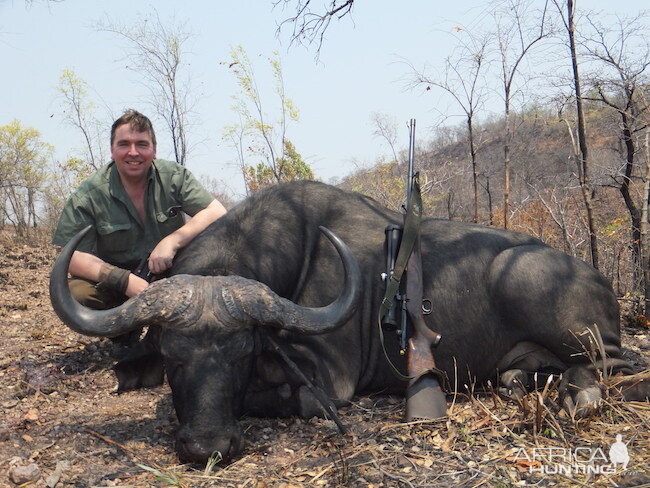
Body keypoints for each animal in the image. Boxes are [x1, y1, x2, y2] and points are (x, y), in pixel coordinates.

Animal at [49, 181, 644, 464]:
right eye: (174, 357)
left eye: (242, 354)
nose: (208, 446)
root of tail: (595, 277)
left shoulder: (326, 378)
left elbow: (292, 397)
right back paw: (524, 381)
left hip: (549, 306)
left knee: (618, 364)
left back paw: (581, 396)